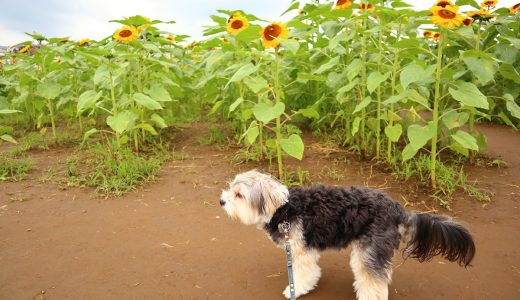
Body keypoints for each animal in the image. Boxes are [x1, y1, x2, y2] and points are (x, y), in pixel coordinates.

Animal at [219, 170, 476, 298]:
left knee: (375, 283)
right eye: (230, 188)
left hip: (368, 254)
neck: (284, 209)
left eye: (239, 195)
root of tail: (397, 210)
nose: (221, 201)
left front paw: (296, 289)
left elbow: (301, 275)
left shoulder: (301, 252)